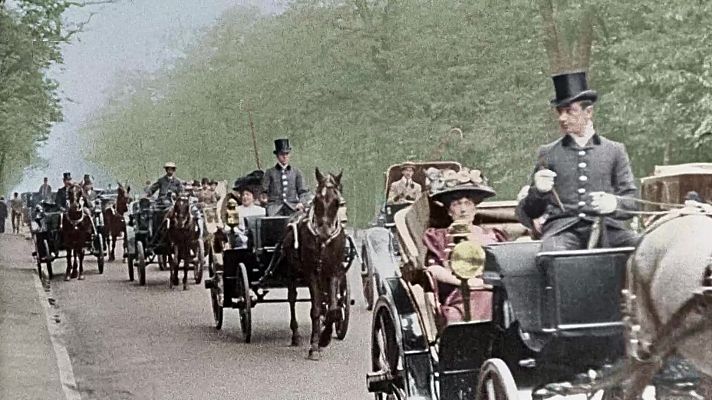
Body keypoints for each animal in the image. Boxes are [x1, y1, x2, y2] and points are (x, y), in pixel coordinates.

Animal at [282, 167, 346, 360]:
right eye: (317, 199)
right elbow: (315, 308)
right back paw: (295, 335)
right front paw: (315, 345)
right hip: (291, 272)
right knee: (292, 298)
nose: (324, 233)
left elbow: (333, 308)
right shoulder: (311, 273)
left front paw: (325, 337)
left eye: (337, 202)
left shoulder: (333, 272)